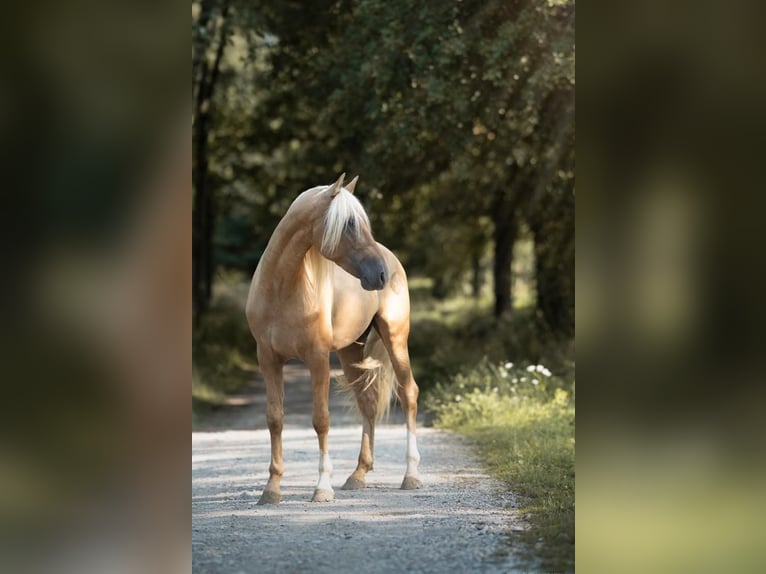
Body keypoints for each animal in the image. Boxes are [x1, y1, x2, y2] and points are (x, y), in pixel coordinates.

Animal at [246, 174, 424, 504]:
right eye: (350, 225)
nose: (380, 275)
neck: (282, 291)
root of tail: (392, 258)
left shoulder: (317, 359)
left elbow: (321, 420)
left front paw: (322, 488)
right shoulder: (268, 359)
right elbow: (275, 418)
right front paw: (272, 489)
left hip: (395, 338)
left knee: (408, 393)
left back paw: (411, 476)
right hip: (350, 351)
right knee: (368, 403)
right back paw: (358, 475)